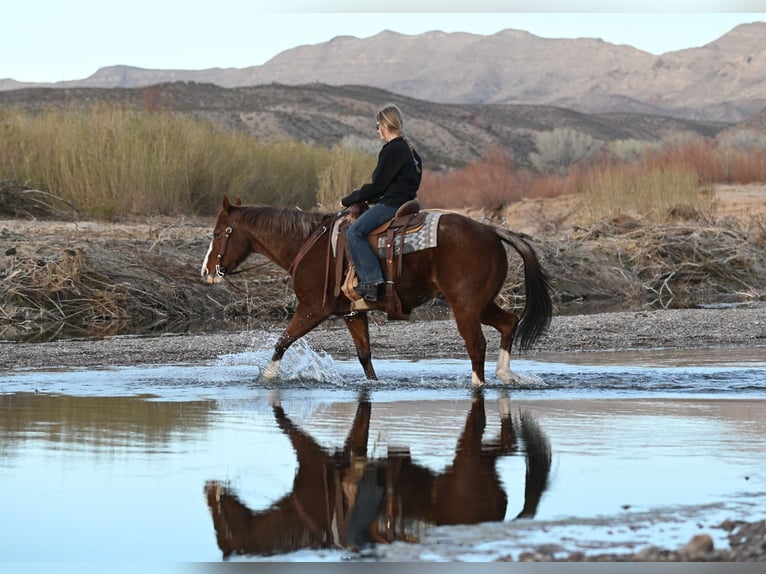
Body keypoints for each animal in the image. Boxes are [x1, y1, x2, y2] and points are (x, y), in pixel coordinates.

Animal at [201, 197, 556, 388]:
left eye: (218, 233)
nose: (206, 271)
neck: (309, 244)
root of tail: (492, 231)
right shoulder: (352, 313)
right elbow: (365, 356)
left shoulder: (313, 308)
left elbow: (283, 341)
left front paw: (268, 377)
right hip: (481, 304)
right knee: (509, 323)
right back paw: (506, 374)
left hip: (465, 306)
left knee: (476, 344)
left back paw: (479, 384)